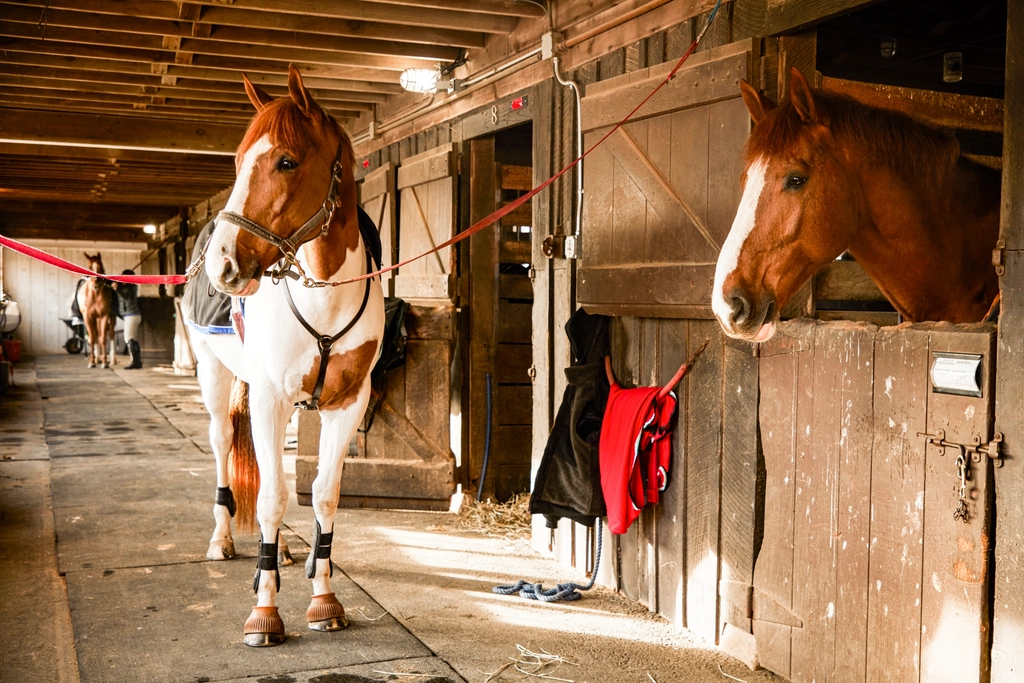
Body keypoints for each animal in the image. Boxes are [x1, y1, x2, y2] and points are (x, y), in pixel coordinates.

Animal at [182, 65, 384, 647]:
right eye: (236, 161)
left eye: (286, 161)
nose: (223, 265)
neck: (323, 294)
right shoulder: (270, 398)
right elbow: (272, 496)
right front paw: (265, 611)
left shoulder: (346, 402)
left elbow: (322, 495)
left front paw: (324, 598)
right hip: (214, 374)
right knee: (224, 444)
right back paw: (223, 540)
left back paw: (287, 552)